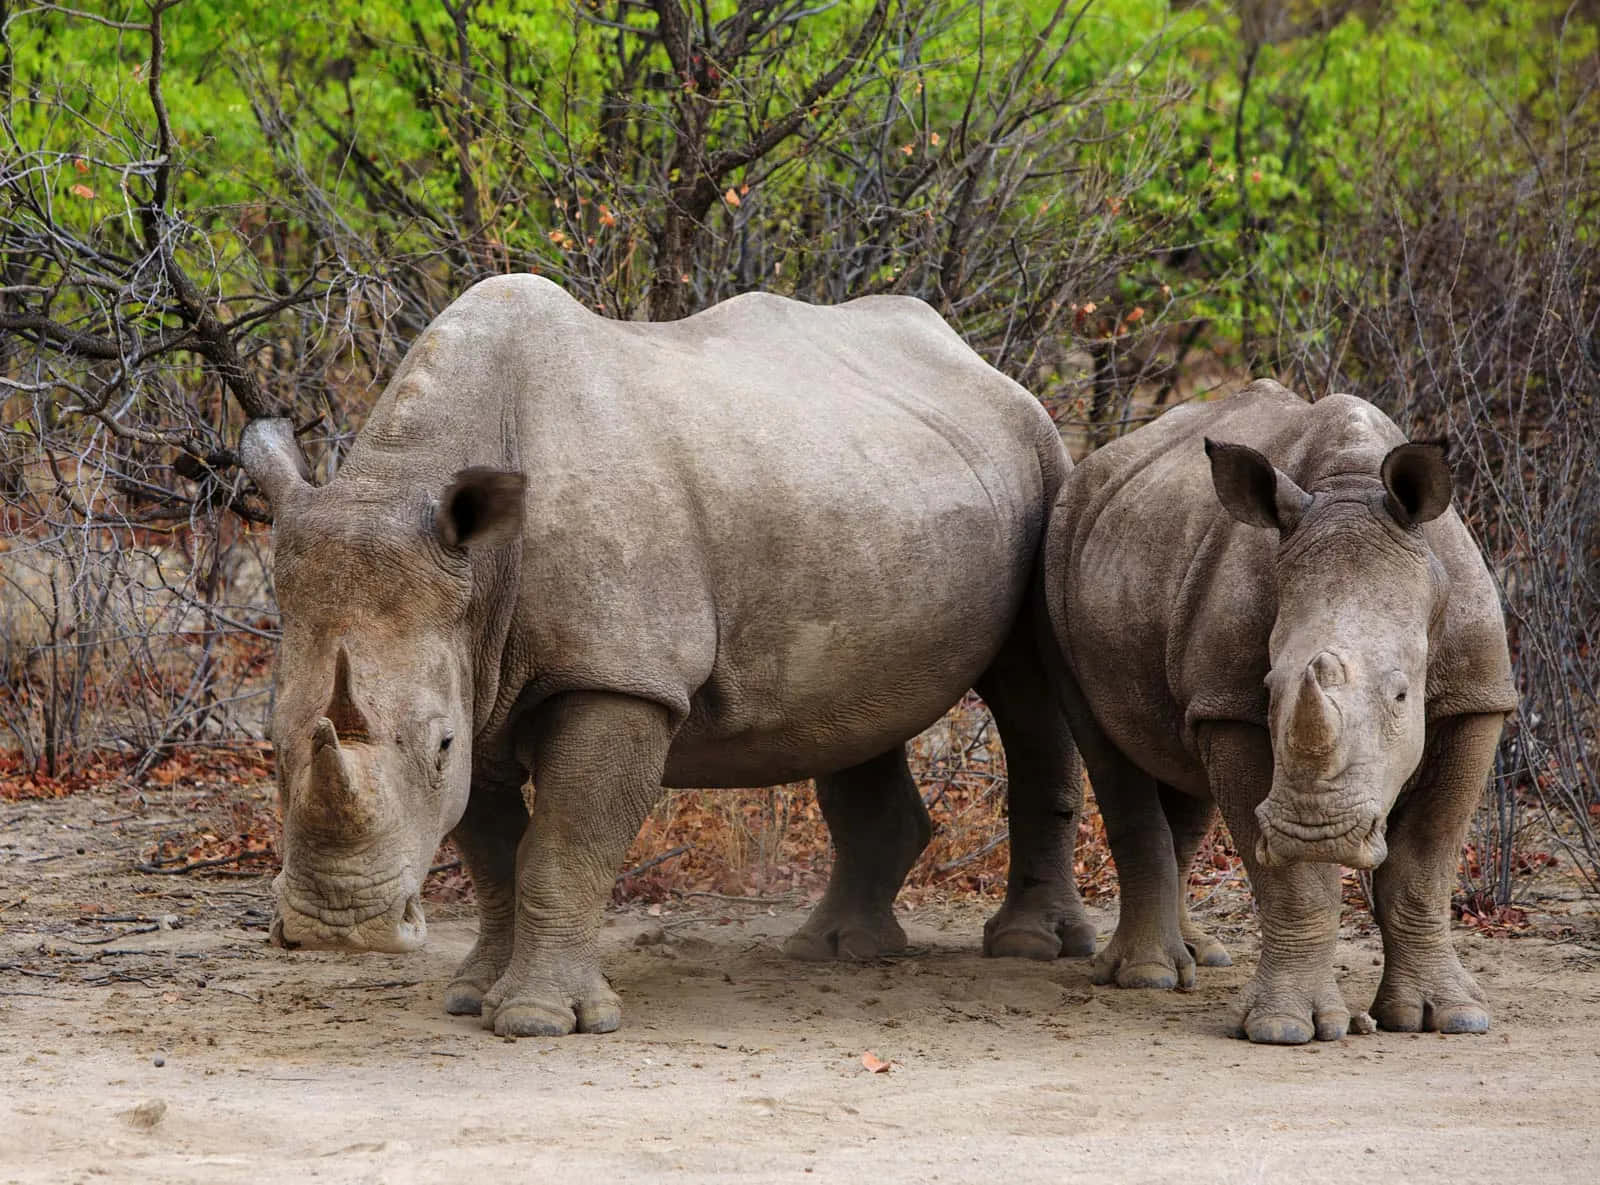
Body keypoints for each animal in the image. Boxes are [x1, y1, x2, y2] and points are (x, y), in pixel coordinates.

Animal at [241, 274, 1095, 1037]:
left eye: (439, 744)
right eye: (272, 745)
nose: (339, 927)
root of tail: (975, 359)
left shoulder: (619, 677)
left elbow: (561, 847)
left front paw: (538, 1019)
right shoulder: (474, 668)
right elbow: (491, 853)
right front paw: (470, 995)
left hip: (1042, 460)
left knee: (1028, 688)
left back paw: (1028, 946)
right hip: (865, 487)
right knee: (858, 708)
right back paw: (835, 950)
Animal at [1044, 379, 1517, 1044]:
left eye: (1402, 695)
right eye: (1270, 690)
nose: (1316, 832)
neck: (1350, 491)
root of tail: (1093, 466)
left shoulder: (1477, 695)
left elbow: (1425, 861)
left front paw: (1448, 1017)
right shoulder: (1231, 707)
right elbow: (1294, 884)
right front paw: (1288, 1028)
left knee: (1181, 764)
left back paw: (1202, 955)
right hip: (1057, 545)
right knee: (1108, 751)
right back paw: (1149, 976)